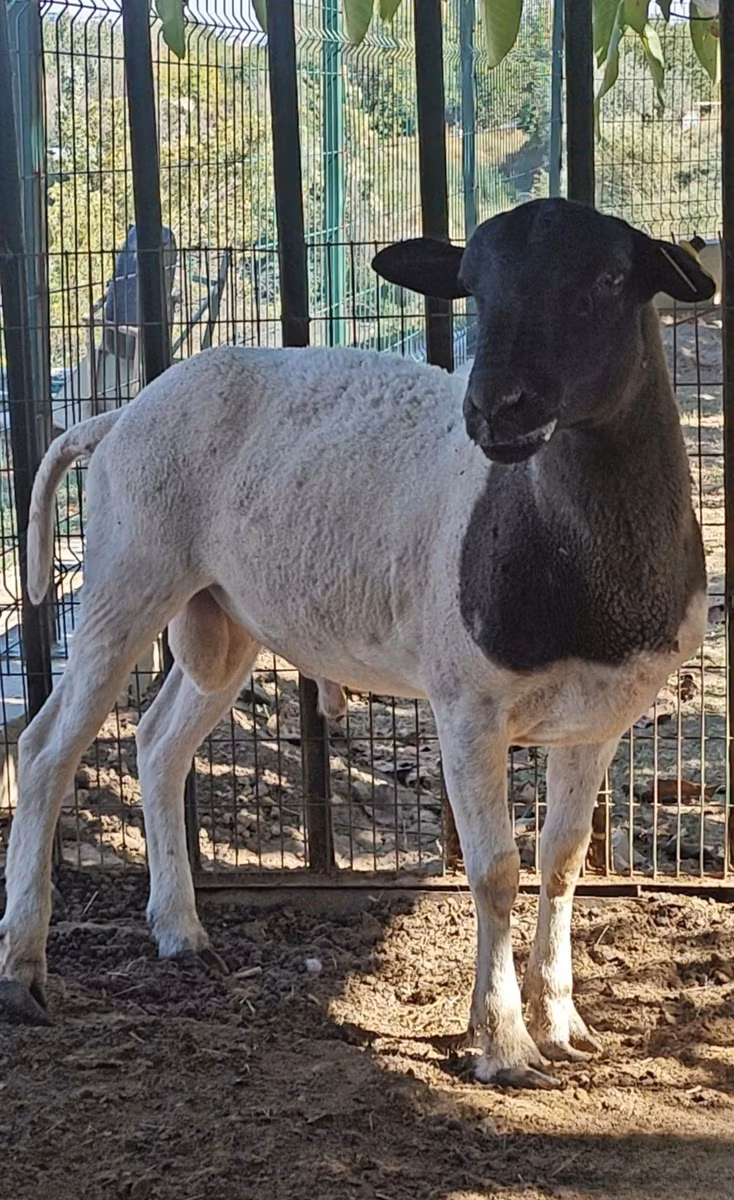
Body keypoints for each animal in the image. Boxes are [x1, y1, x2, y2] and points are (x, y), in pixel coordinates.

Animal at [0, 198, 715, 1089]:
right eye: (473, 285)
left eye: (613, 277)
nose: (495, 407)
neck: (580, 574)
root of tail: (119, 413)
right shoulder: (466, 703)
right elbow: (495, 872)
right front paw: (505, 1045)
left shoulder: (600, 718)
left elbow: (562, 861)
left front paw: (562, 1025)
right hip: (129, 570)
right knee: (45, 748)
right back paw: (23, 971)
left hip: (223, 616)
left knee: (160, 743)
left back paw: (180, 931)